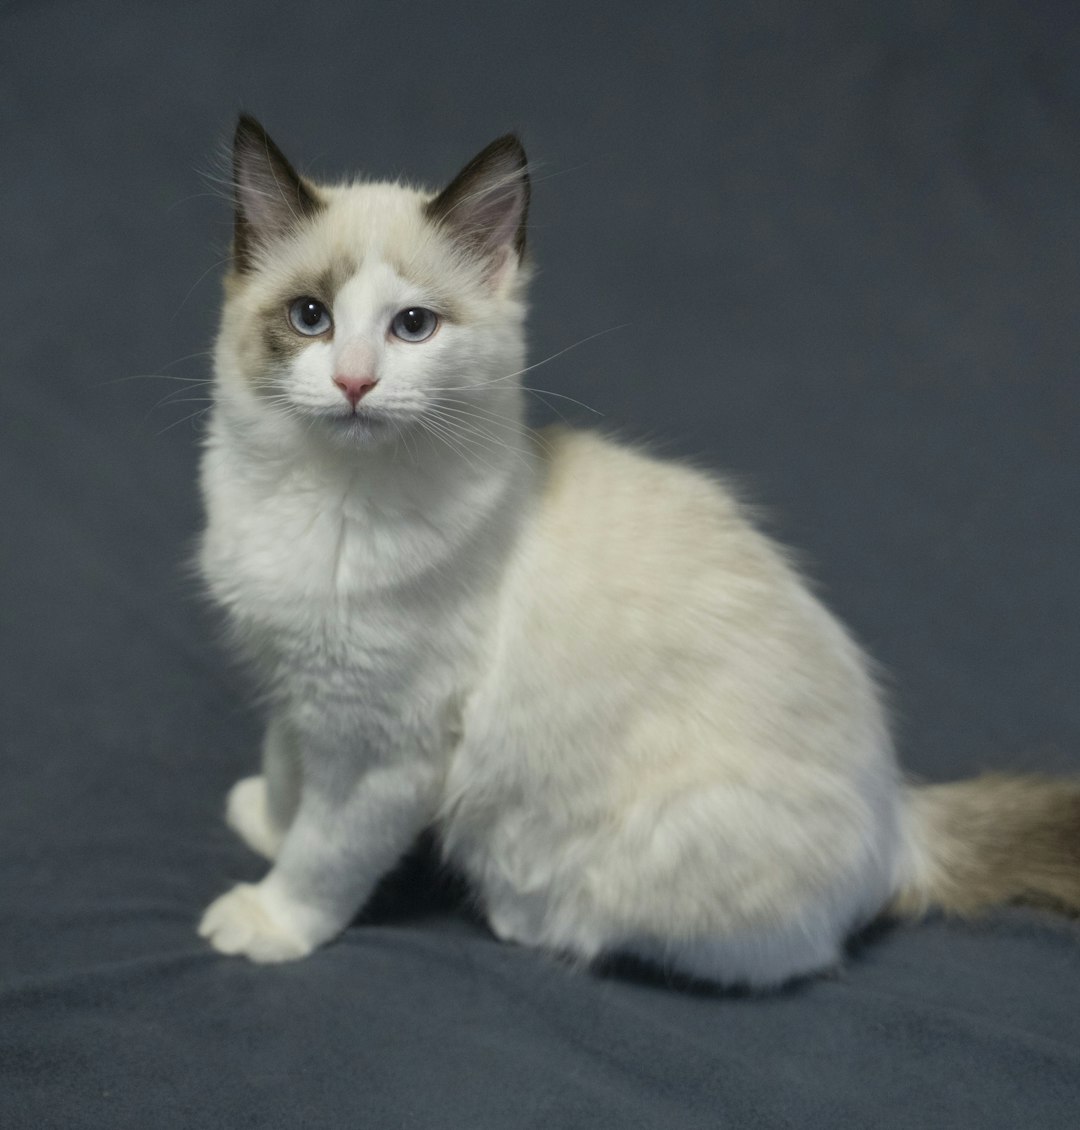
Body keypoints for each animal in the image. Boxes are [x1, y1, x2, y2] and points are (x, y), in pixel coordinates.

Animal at [196, 114, 1080, 989]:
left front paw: (268, 921)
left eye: (412, 326)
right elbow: (288, 774)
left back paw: (518, 914)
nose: (354, 383)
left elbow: (326, 856)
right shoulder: (297, 692)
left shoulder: (384, 750)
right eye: (311, 317)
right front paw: (264, 821)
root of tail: (900, 819)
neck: (325, 498)